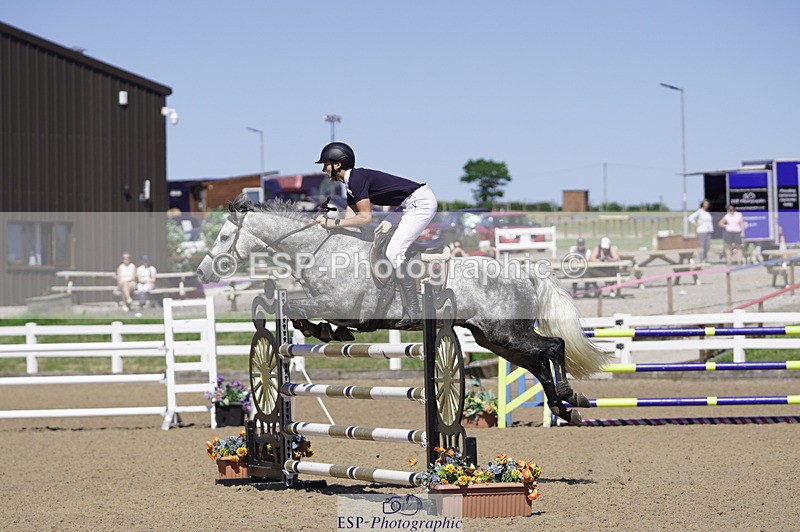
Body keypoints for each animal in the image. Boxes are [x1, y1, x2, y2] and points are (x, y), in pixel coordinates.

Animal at [196, 196, 610, 426]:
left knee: (553, 347)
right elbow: (297, 310)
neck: (322, 251)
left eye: (224, 236)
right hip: (494, 339)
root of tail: (522, 270)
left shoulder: (344, 306)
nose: (202, 272)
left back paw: (569, 397)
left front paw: (328, 331)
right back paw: (564, 407)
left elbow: (301, 309)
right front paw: (327, 332)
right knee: (538, 361)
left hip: (506, 333)